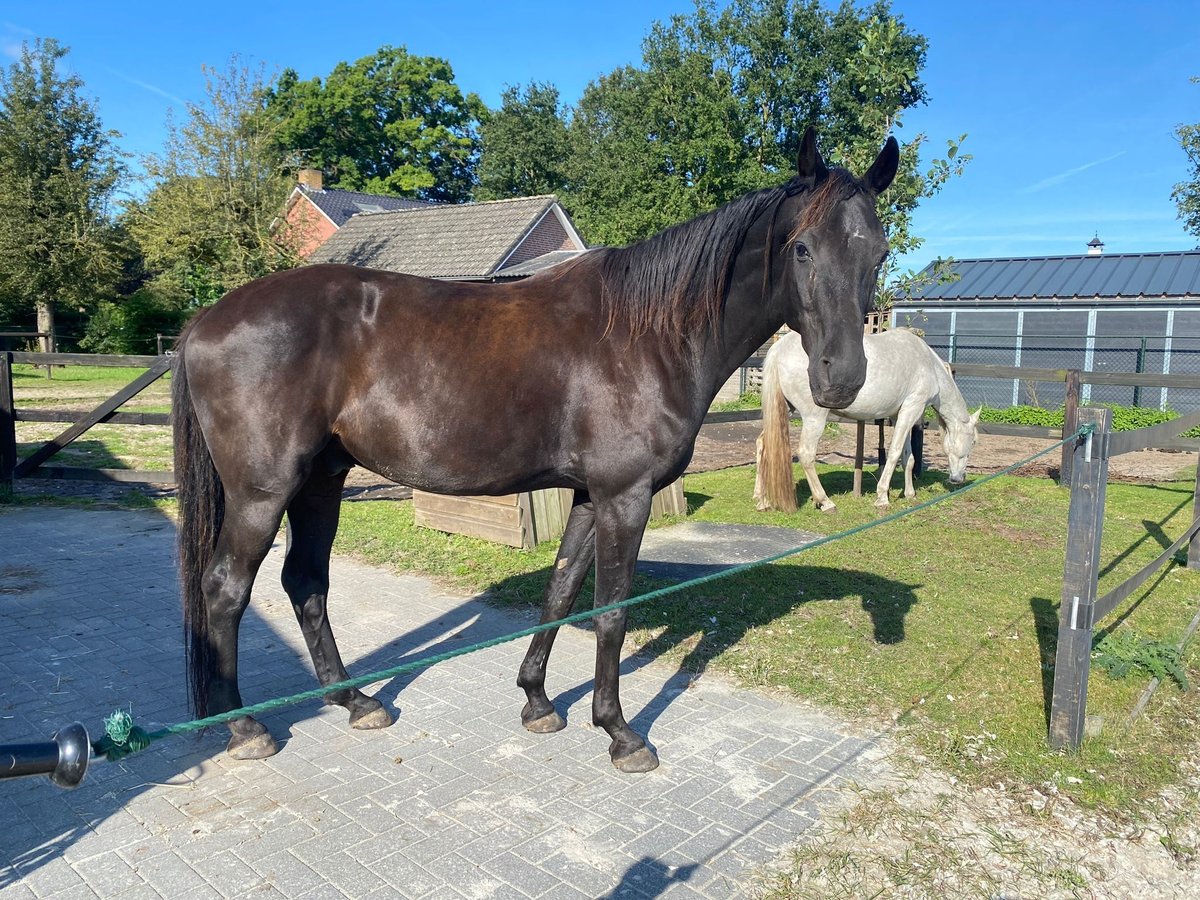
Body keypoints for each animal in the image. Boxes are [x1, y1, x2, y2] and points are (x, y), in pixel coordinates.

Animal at [174, 128, 897, 777]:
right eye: (801, 248)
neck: (647, 335)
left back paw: (357, 703)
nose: (841, 379)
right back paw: (245, 729)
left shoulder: (588, 496)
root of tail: (206, 320)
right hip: (263, 492)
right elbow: (612, 614)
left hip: (321, 482)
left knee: (306, 583)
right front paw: (621, 734)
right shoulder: (625, 497)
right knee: (226, 588)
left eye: (879, 252)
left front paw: (538, 702)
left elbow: (561, 592)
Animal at [753, 331, 979, 513]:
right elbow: (895, 453)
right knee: (806, 454)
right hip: (813, 417)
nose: (958, 479)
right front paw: (882, 497)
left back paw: (762, 501)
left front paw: (909, 493)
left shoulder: (901, 414)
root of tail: (779, 348)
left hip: (785, 409)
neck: (928, 364)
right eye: (973, 442)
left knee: (763, 444)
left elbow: (908, 458)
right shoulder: (911, 409)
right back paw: (825, 502)